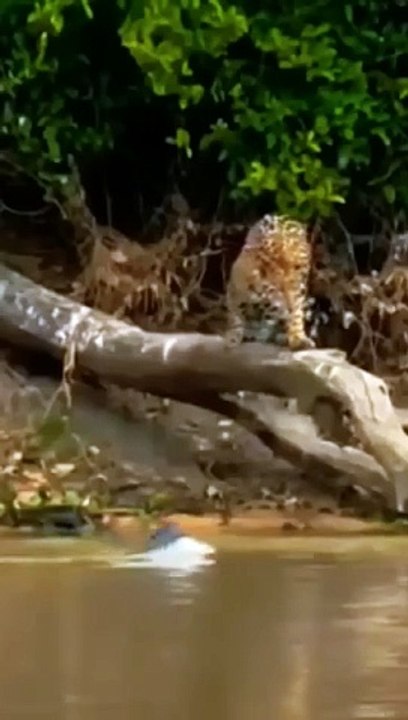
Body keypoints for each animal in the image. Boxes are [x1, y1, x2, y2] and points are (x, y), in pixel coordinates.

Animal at [225, 214, 315, 350]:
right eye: (278, 289)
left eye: (297, 266)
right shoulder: (236, 292)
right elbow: (236, 315)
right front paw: (233, 337)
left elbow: (294, 315)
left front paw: (297, 338)